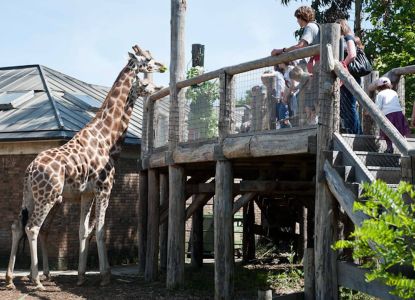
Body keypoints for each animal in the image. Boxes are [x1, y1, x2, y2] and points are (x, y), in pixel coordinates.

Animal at [5, 45, 166, 290]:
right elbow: (99, 230)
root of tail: (30, 170)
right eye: (147, 61)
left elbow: (83, 230)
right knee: (32, 228)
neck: (107, 138)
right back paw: (36, 279)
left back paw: (11, 279)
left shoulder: (86, 193)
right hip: (47, 197)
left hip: (31, 196)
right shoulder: (104, 189)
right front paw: (105, 276)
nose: (162, 67)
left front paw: (81, 276)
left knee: (17, 225)